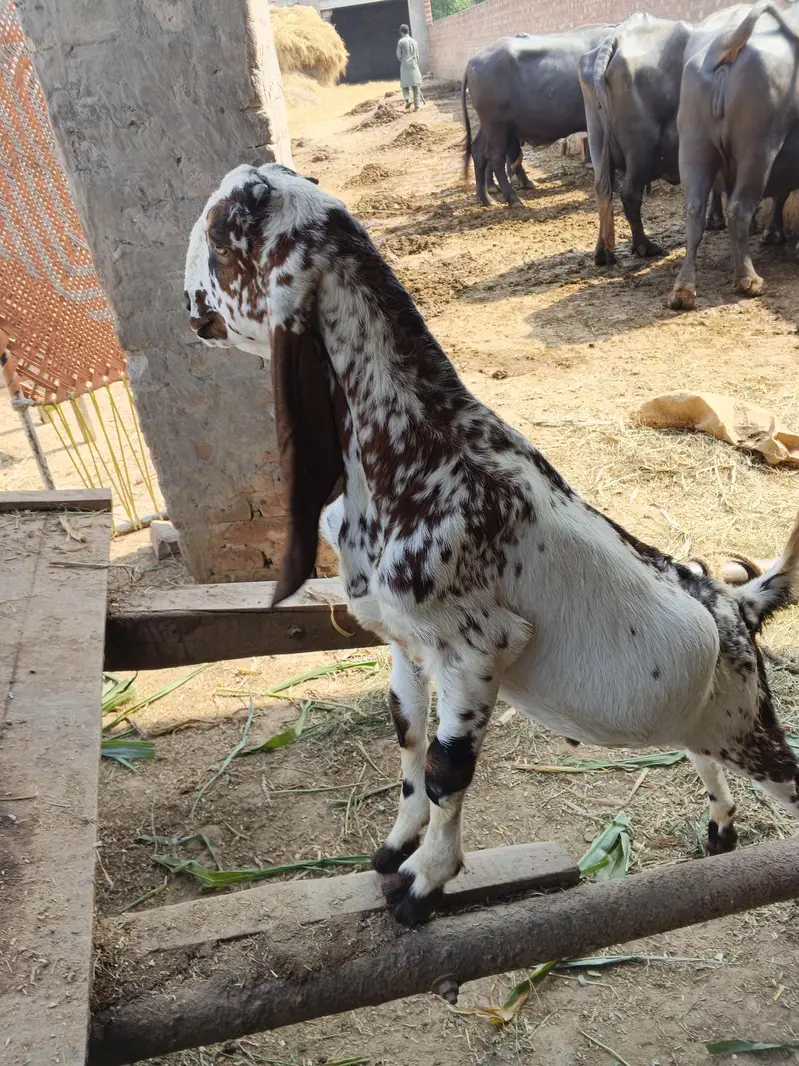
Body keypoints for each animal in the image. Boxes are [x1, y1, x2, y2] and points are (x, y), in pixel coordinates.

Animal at [185, 162, 799, 926]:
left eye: (219, 237)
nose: (189, 303)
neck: (421, 447)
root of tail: (738, 605)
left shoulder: (479, 646)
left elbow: (448, 773)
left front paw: (424, 882)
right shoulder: (404, 642)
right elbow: (408, 739)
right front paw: (396, 847)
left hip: (749, 721)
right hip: (702, 722)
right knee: (701, 756)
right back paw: (719, 828)